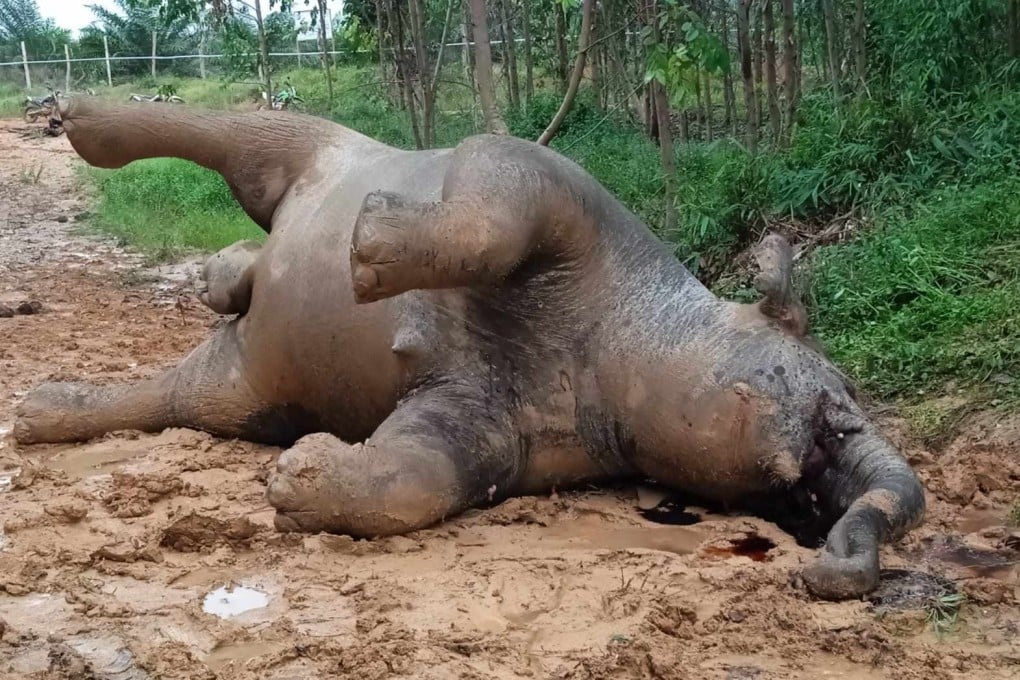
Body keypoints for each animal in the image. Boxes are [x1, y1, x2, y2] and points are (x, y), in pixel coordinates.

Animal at [14, 99, 925, 600]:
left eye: (815, 480)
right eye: (838, 405)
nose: (831, 547)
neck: (609, 345)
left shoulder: (486, 428)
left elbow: (411, 482)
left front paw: (306, 475)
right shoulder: (538, 181)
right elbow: (492, 205)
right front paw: (371, 247)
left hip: (245, 389)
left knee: (177, 396)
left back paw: (48, 408)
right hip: (316, 147)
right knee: (241, 135)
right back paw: (91, 127)